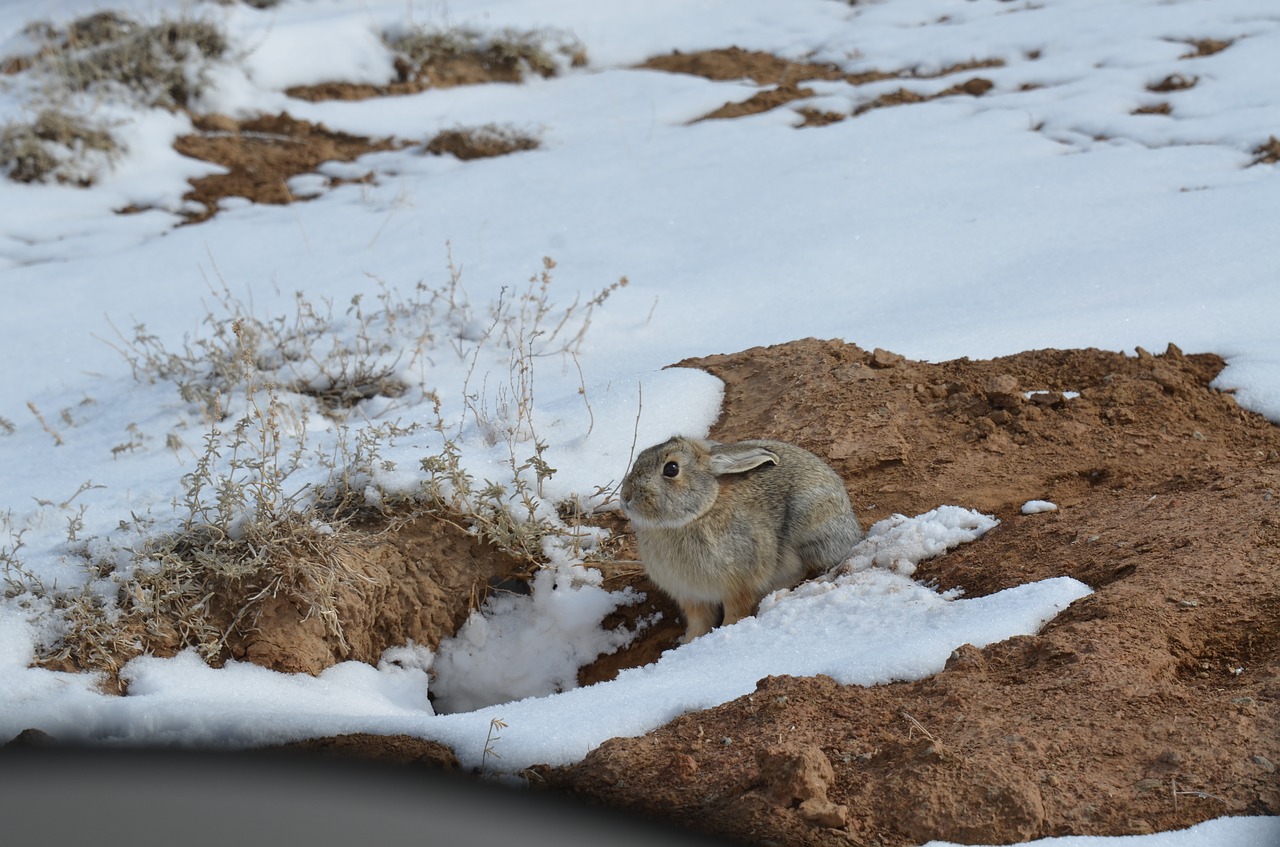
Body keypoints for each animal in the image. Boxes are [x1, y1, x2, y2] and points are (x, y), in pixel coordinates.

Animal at [616, 437, 860, 644]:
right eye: (639, 458)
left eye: (671, 469)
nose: (626, 497)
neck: (699, 512)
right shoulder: (692, 597)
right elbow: (699, 623)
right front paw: (688, 644)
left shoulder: (738, 584)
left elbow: (736, 611)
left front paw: (726, 630)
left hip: (809, 529)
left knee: (806, 569)